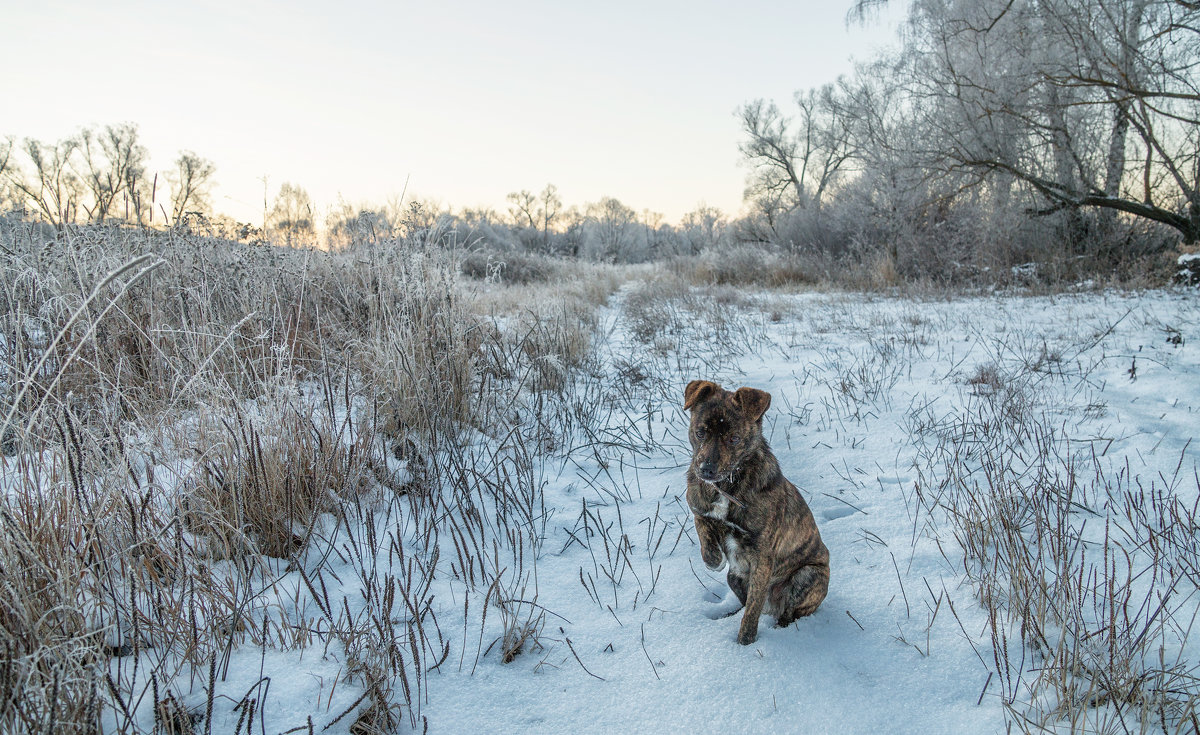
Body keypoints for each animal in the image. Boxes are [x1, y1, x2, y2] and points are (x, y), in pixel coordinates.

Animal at [681, 379, 830, 643]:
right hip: (735, 578)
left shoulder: (763, 557)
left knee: (785, 613)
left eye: (734, 438)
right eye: (700, 432)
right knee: (746, 600)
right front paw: (715, 560)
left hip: (808, 575)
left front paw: (744, 643)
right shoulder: (698, 509)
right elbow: (706, 537)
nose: (706, 470)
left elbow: (752, 610)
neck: (728, 485)